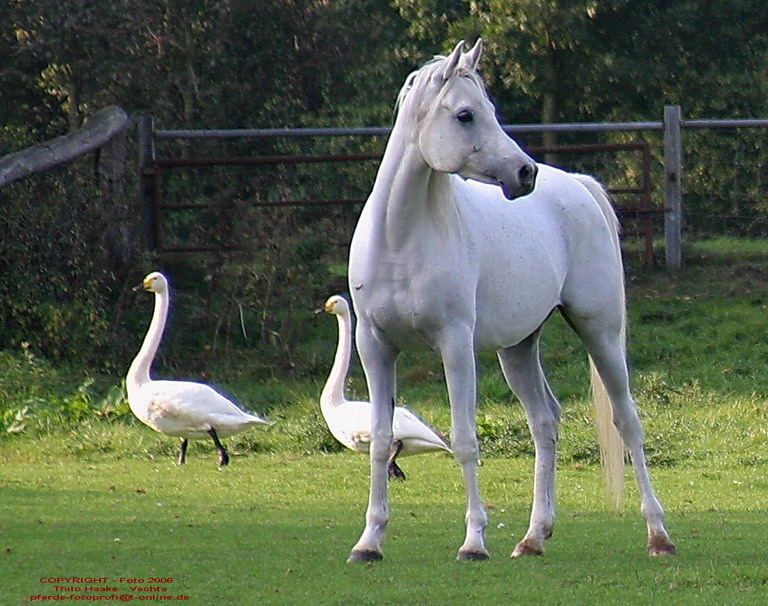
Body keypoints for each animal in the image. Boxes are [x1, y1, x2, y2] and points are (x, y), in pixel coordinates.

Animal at [344, 39, 676, 564]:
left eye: (490, 111)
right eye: (465, 114)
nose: (525, 172)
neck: (402, 239)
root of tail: (578, 185)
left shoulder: (455, 344)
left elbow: (464, 440)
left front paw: (473, 542)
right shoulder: (374, 346)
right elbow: (379, 441)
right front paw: (369, 542)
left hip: (599, 332)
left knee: (627, 421)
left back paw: (658, 535)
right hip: (518, 348)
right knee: (545, 422)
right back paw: (534, 536)